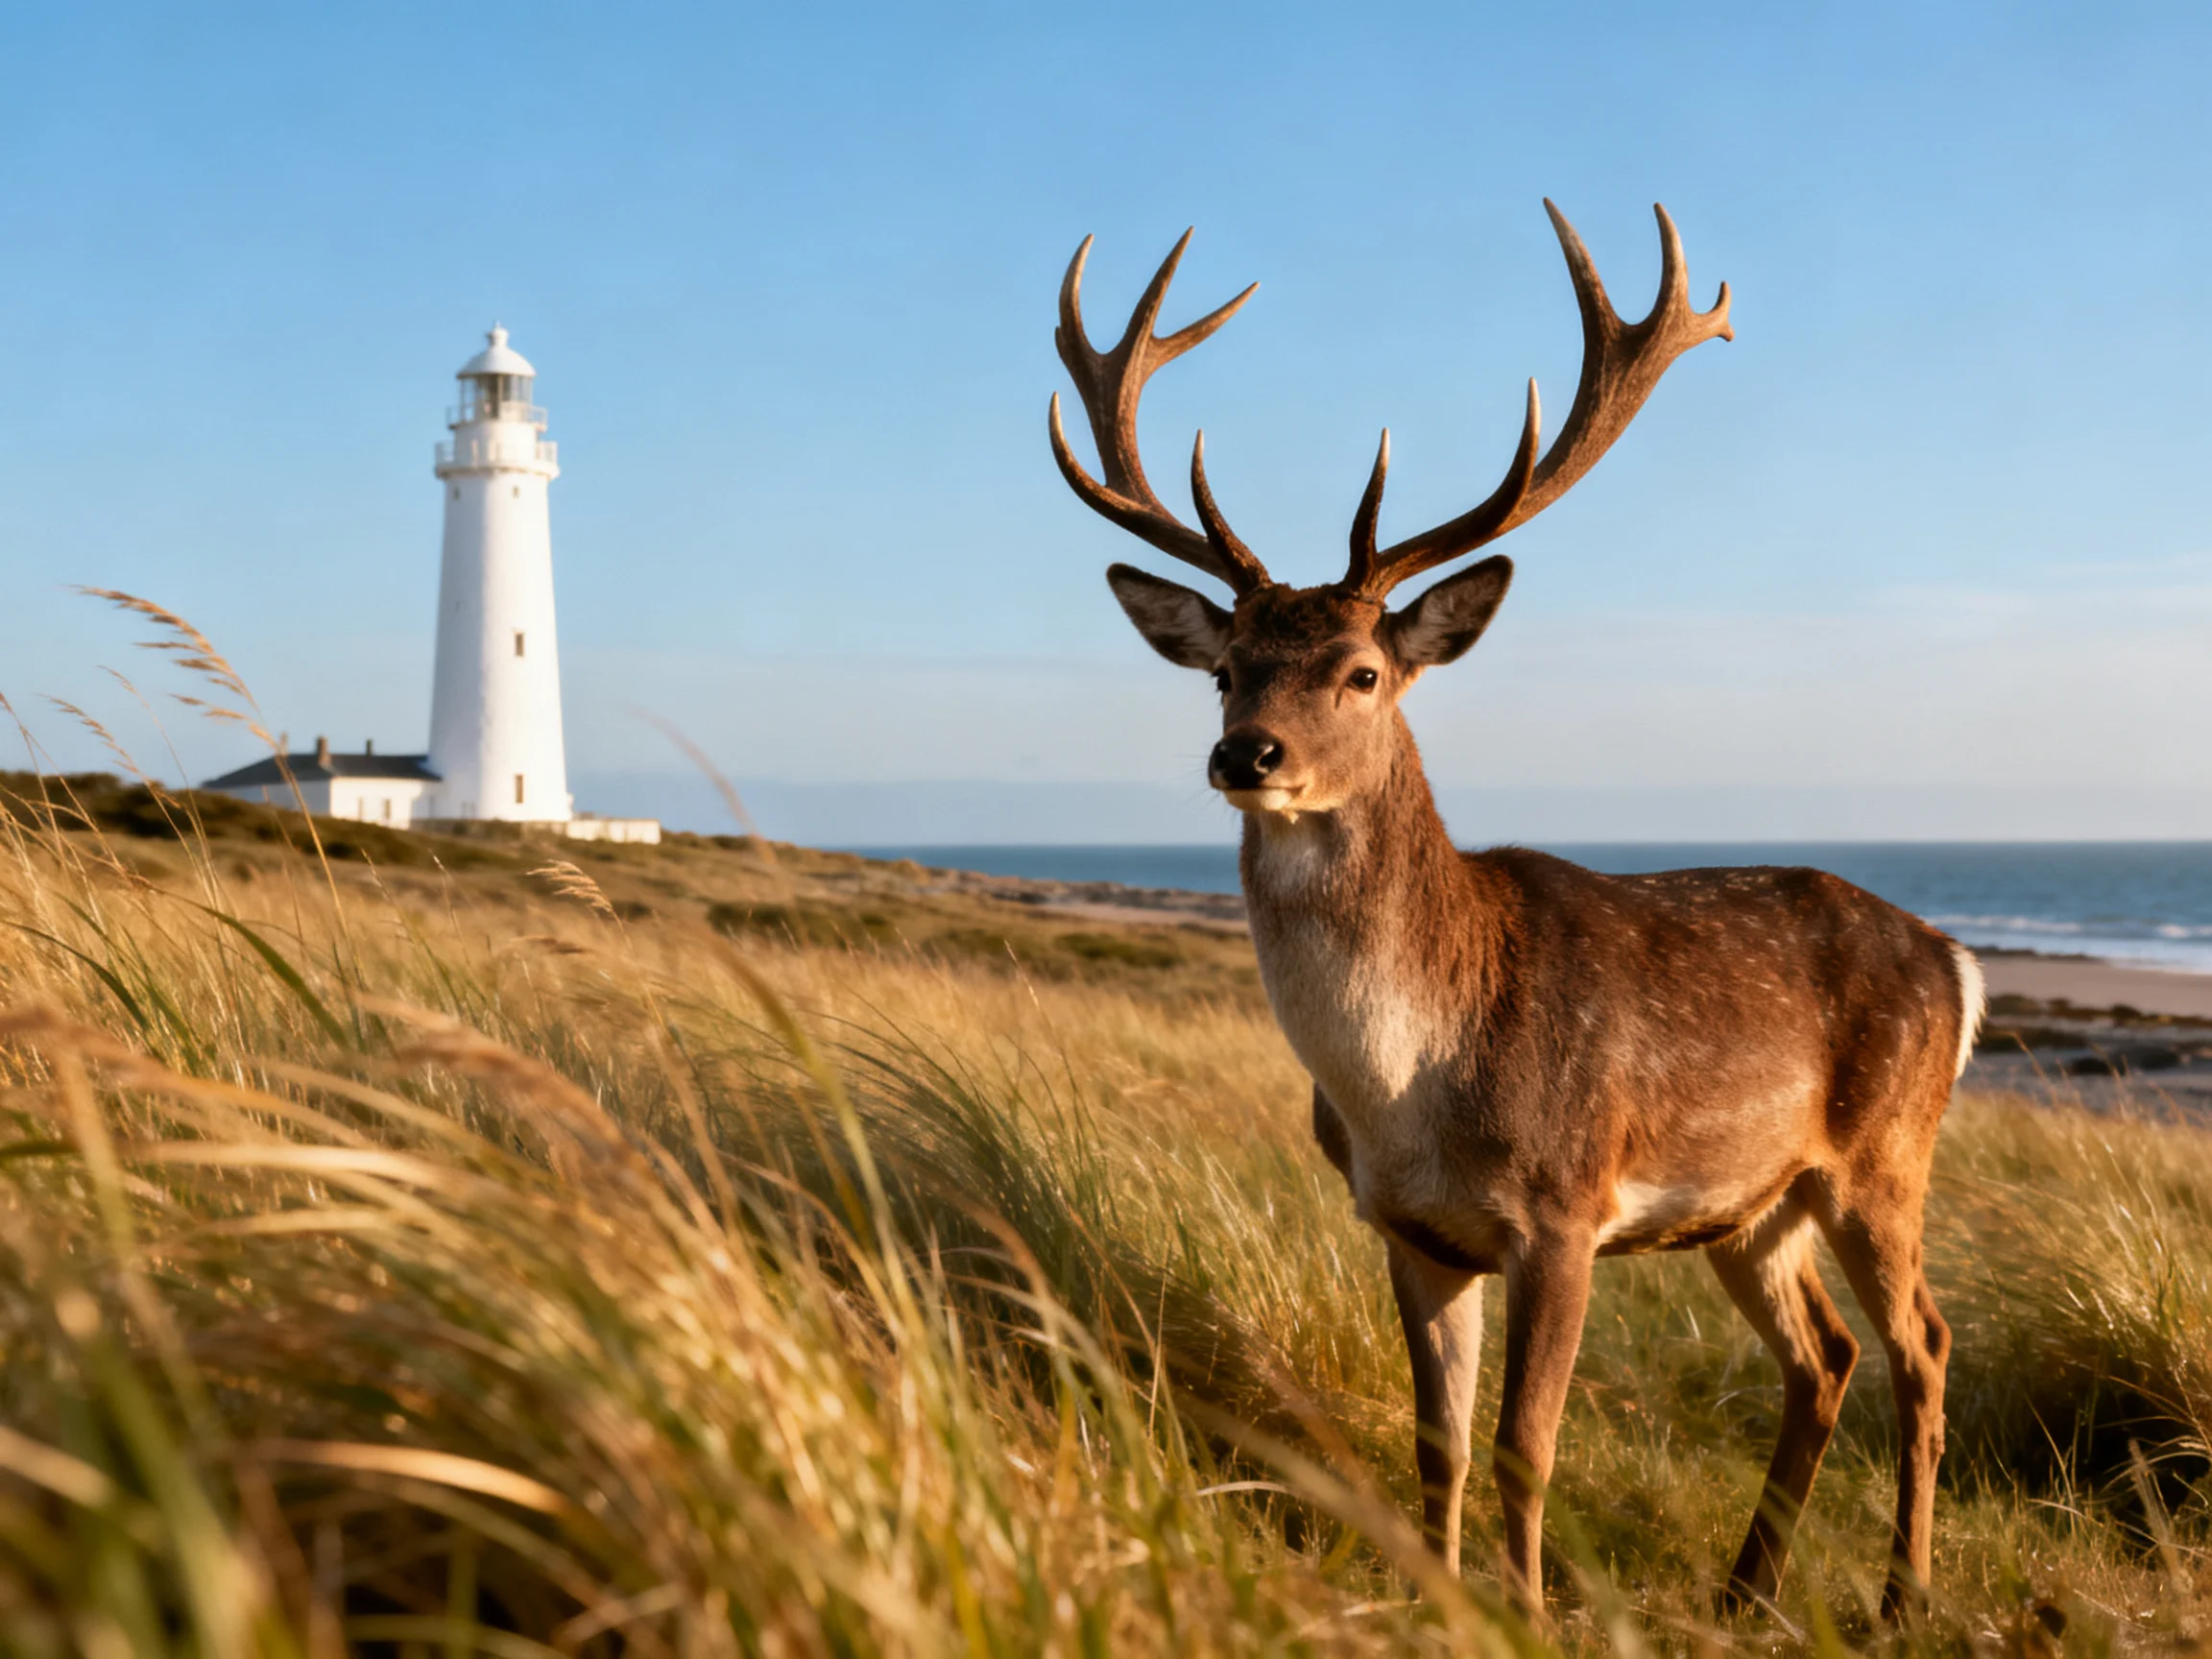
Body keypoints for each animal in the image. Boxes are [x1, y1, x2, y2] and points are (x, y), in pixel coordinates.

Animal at [1046, 202, 1982, 1622]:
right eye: (1224, 670)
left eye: (1363, 672)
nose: (1246, 754)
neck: (1415, 1080)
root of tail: (1958, 961)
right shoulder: (1413, 1229)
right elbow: (1438, 1441)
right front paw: (1439, 1600)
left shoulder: (1565, 1207)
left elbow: (1524, 1444)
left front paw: (1530, 1609)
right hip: (1750, 1203)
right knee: (1823, 1353)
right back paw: (1744, 1593)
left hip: (1884, 1153)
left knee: (1923, 1343)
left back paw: (1901, 1600)